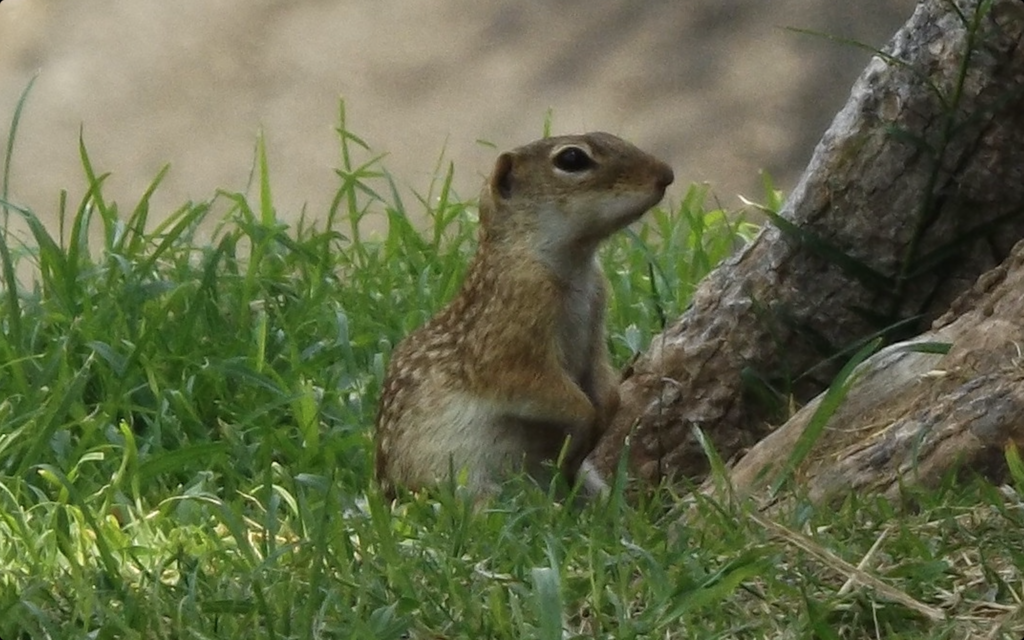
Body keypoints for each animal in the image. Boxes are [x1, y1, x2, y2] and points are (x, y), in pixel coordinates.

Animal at [374, 131, 674, 501]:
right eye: (572, 159)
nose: (666, 174)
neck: (574, 264)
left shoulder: (595, 318)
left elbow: (604, 380)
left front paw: (606, 411)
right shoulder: (512, 339)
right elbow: (536, 386)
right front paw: (585, 423)